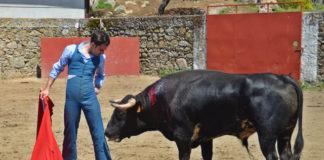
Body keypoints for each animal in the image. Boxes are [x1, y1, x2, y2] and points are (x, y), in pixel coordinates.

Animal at [104, 70, 304, 160]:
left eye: (120, 115)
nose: (106, 132)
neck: (163, 98)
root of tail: (283, 78)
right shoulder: (206, 138)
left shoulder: (182, 138)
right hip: (285, 135)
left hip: (267, 137)